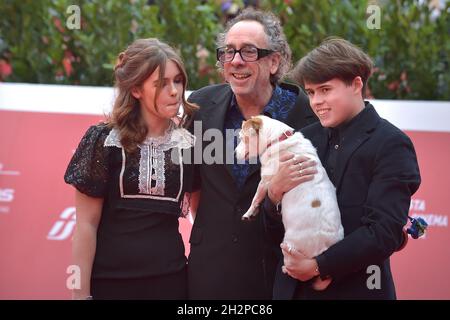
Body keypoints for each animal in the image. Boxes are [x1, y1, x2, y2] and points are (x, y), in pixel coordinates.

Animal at [234, 117, 342, 288]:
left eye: (243, 138)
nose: (234, 153)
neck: (278, 139)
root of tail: (323, 251)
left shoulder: (265, 181)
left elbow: (256, 197)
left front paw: (249, 212)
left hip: (288, 247)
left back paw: (286, 269)